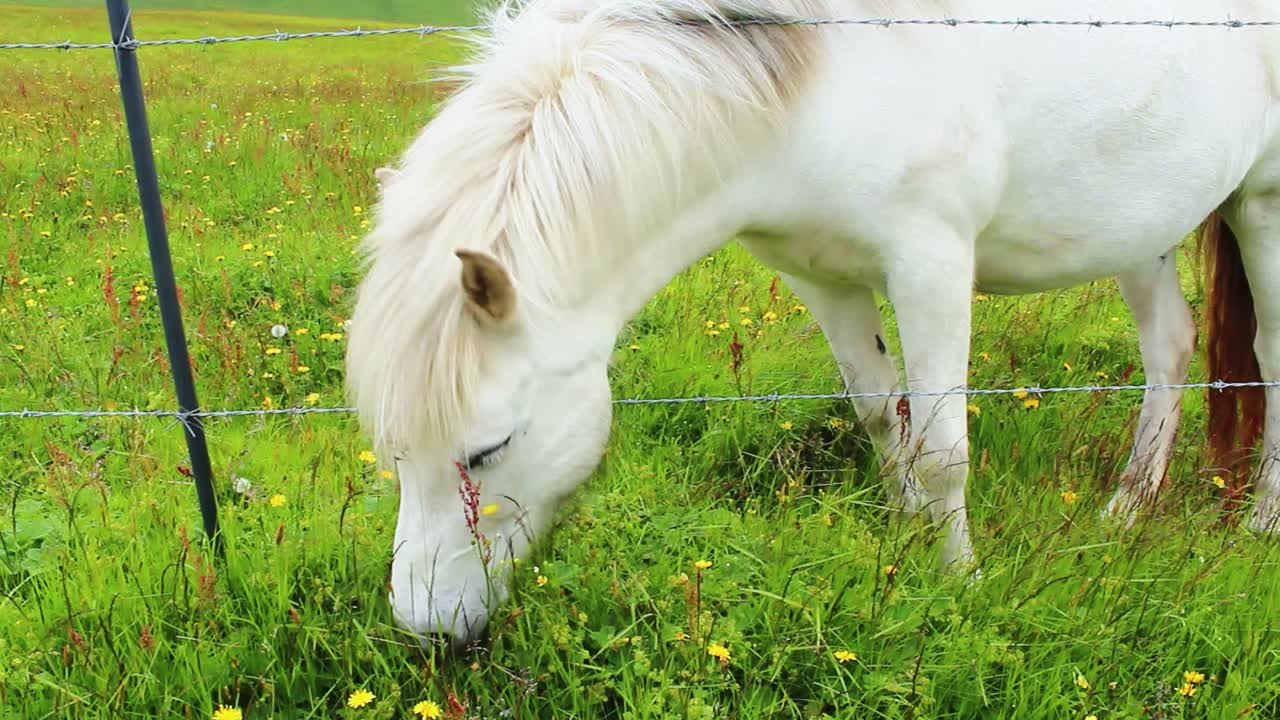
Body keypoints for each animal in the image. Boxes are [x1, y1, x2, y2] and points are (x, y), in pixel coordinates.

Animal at [345, 0, 1280, 646]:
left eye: (487, 451)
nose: (427, 629)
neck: (826, 75)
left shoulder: (933, 261)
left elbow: (943, 449)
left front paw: (960, 583)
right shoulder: (822, 277)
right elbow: (882, 416)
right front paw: (905, 541)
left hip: (1263, 203)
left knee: (1268, 353)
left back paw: (1262, 524)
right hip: (1140, 222)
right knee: (1169, 346)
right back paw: (1127, 508)